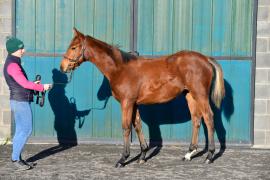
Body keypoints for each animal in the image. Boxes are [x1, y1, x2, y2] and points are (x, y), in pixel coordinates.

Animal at [60, 28, 225, 167]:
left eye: (73, 47)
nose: (63, 67)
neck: (120, 69)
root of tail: (206, 59)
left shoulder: (126, 103)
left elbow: (126, 127)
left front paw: (123, 159)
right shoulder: (134, 104)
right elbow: (137, 125)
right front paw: (142, 156)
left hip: (200, 95)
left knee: (208, 118)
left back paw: (209, 156)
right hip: (190, 96)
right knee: (196, 120)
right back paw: (189, 154)